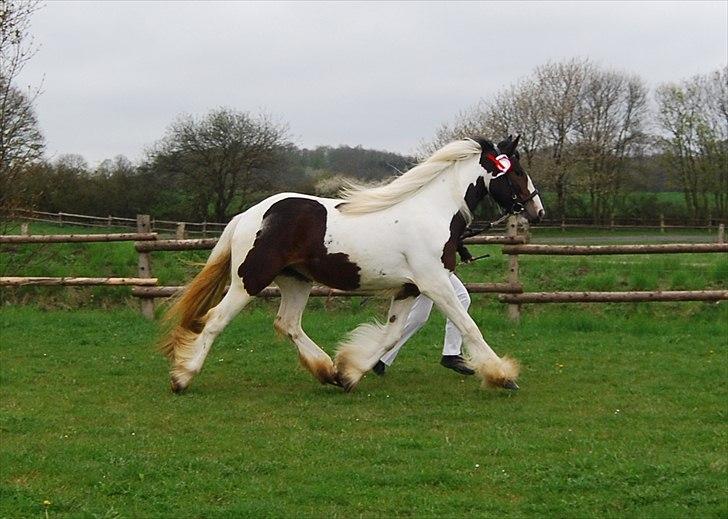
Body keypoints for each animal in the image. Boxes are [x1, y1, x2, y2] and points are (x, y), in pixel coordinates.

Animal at [161, 135, 544, 394]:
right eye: (516, 171)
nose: (537, 210)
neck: (432, 212)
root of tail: (248, 215)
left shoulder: (410, 288)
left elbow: (391, 334)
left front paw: (350, 372)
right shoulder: (434, 283)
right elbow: (468, 326)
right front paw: (503, 375)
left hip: (296, 281)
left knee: (288, 324)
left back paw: (326, 371)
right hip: (250, 280)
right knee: (215, 320)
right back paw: (182, 377)